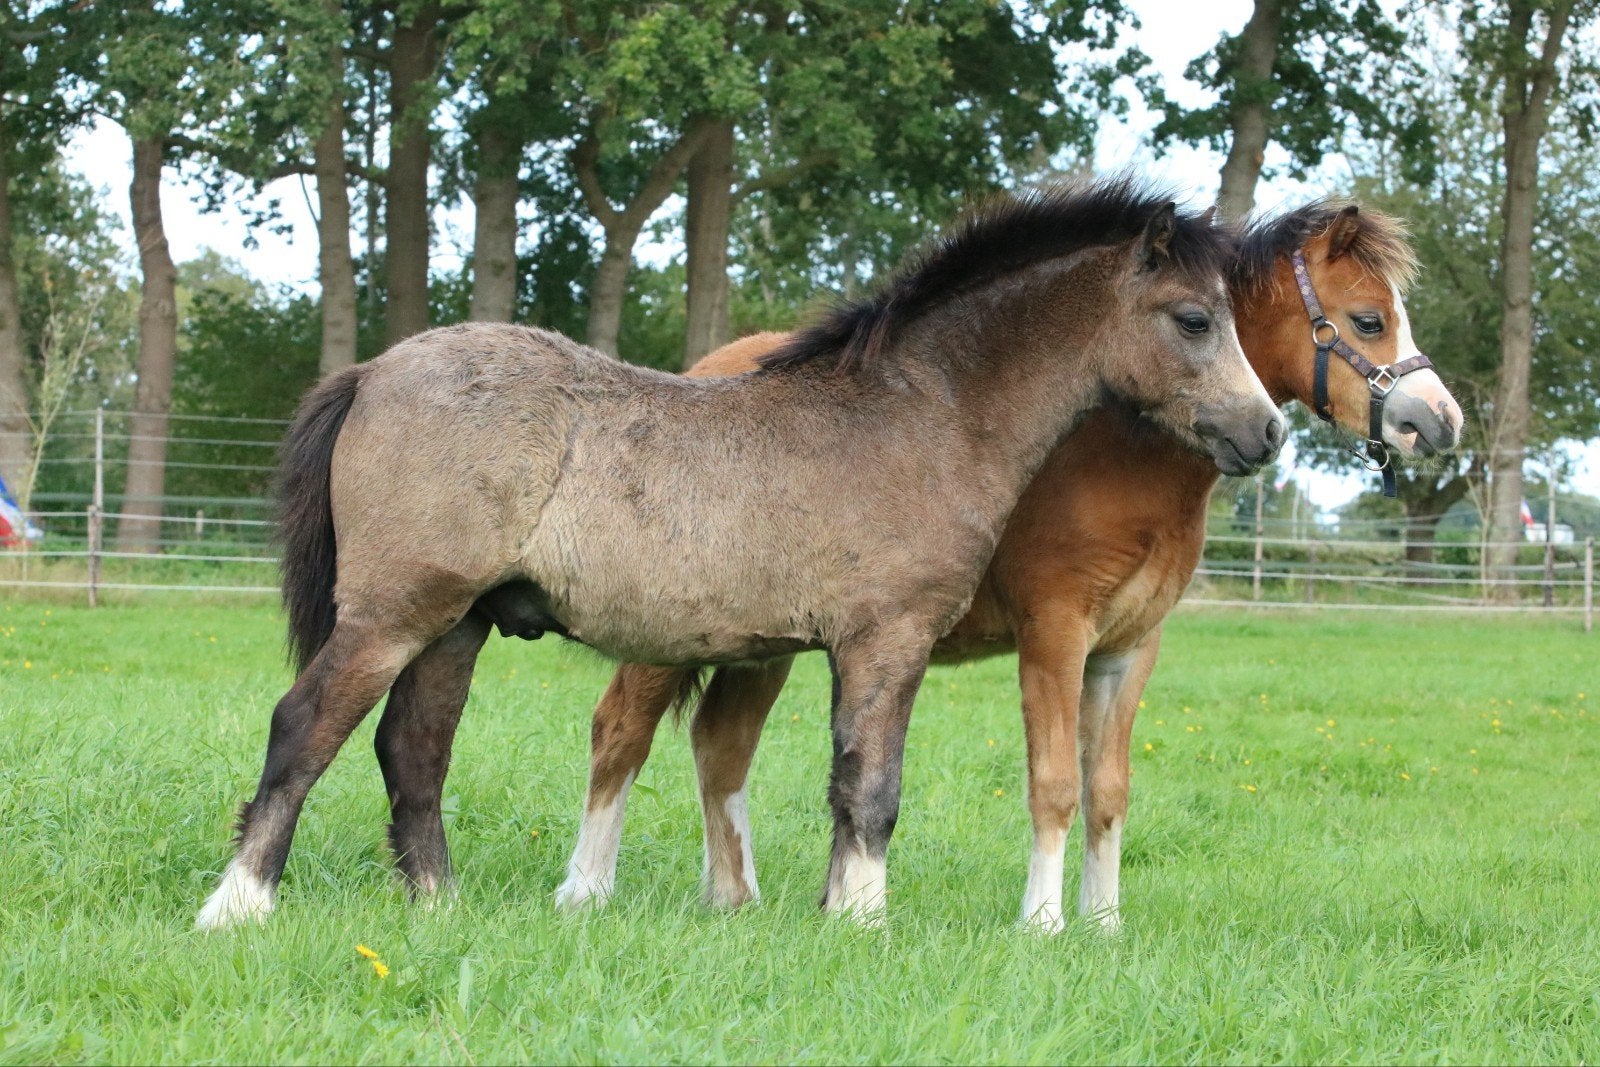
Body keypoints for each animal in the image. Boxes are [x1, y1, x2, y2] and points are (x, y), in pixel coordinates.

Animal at [195, 176, 1285, 930]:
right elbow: (872, 787)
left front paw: (836, 908)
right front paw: (864, 920)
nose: (1265, 432)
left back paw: (439, 906)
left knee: (413, 749)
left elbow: (845, 782)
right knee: (306, 726)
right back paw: (237, 904)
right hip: (396, 613)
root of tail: (375, 370)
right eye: (1194, 318)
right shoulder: (889, 639)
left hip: (456, 625)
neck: (923, 415)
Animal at [550, 200, 1464, 929]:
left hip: (763, 643)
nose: (1439, 421)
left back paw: (735, 899)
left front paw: (1104, 925)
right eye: (1369, 319)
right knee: (621, 729)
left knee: (722, 744)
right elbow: (1054, 781)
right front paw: (1044, 924)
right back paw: (588, 891)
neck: (1117, 456)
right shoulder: (1055, 633)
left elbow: (1108, 789)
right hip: (674, 631)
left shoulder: (1128, 649)